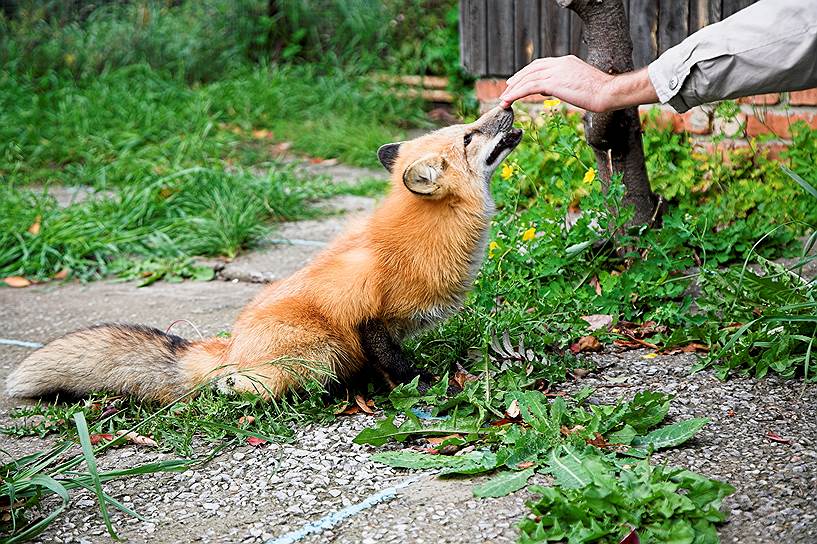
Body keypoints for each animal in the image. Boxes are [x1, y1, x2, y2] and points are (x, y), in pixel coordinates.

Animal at [4, 106, 524, 404]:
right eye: (468, 136)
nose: (510, 108)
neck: (425, 236)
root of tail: (231, 344)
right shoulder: (368, 319)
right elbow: (397, 366)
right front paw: (430, 387)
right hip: (322, 352)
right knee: (248, 383)